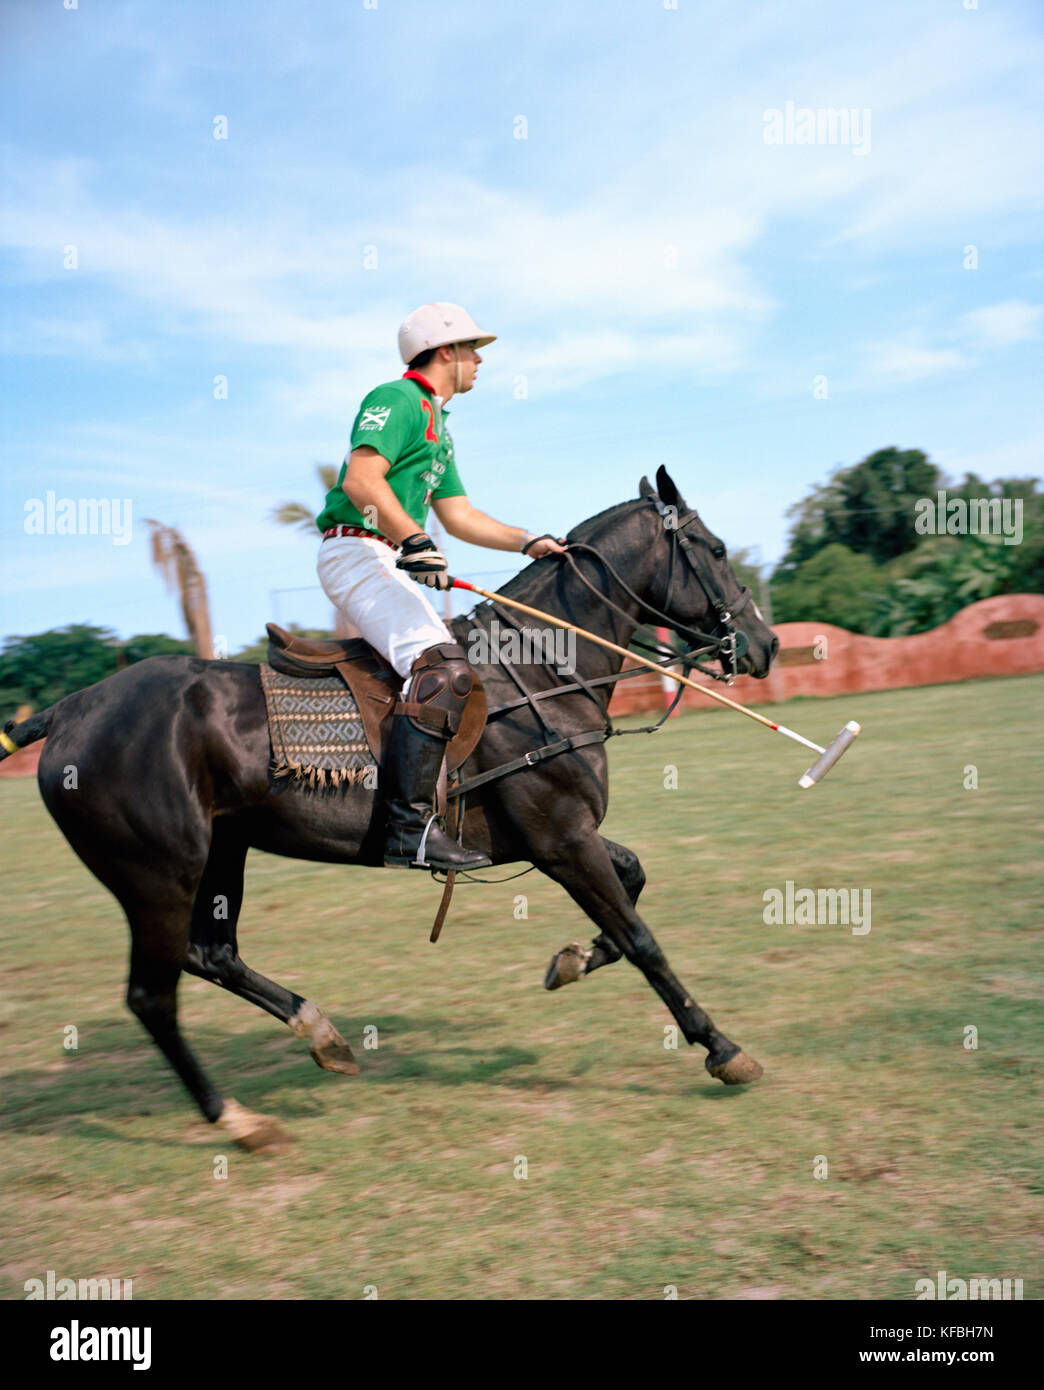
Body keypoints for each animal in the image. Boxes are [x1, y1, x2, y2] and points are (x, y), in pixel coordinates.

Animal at [4, 467, 778, 1150]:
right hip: (157, 872)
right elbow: (643, 938)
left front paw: (571, 960)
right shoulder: (561, 837)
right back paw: (239, 1121)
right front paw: (722, 1048)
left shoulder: (558, 837)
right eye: (714, 549)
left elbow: (634, 882)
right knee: (152, 996)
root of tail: (67, 710)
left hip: (222, 848)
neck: (539, 671)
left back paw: (322, 1035)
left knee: (212, 953)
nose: (766, 645)